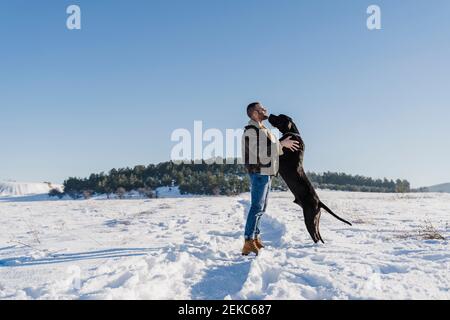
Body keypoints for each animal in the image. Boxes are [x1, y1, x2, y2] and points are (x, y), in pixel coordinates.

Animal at [268, 114, 352, 242]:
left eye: (279, 117)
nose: (270, 114)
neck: (293, 133)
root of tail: (319, 202)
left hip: (309, 218)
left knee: (315, 236)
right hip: (315, 219)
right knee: (318, 236)